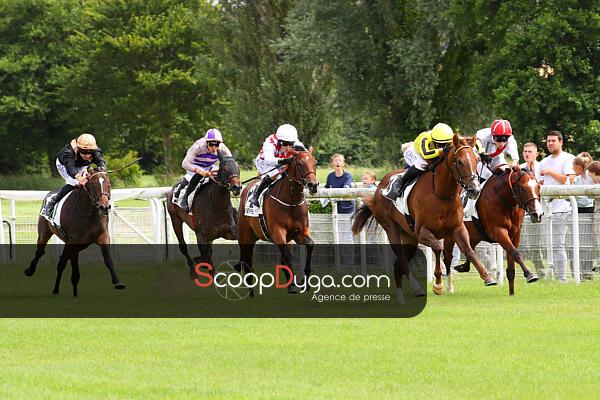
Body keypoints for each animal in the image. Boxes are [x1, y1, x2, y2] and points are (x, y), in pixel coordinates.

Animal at [24, 168, 125, 297]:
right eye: (93, 185)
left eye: (109, 184)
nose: (104, 207)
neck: (89, 212)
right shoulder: (74, 241)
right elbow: (74, 267)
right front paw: (75, 290)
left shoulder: (103, 237)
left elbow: (108, 259)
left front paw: (117, 282)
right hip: (44, 233)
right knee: (40, 252)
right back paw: (30, 271)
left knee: (61, 262)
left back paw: (56, 289)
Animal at [237, 147, 318, 295]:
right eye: (300, 164)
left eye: (315, 163)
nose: (313, 185)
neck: (291, 201)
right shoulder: (278, 232)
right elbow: (287, 255)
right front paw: (294, 284)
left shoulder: (299, 233)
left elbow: (309, 245)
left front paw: (305, 282)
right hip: (246, 237)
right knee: (247, 262)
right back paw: (251, 291)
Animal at [352, 134, 497, 302]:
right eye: (460, 162)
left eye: (476, 159)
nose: (475, 190)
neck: (441, 194)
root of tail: (379, 187)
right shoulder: (422, 232)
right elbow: (438, 248)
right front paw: (438, 285)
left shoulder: (457, 228)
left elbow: (468, 250)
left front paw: (487, 277)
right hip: (391, 228)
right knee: (402, 260)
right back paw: (417, 289)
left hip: (409, 237)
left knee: (398, 264)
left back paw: (401, 295)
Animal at [443, 165, 544, 295]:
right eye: (522, 188)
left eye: (538, 187)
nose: (538, 214)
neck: (503, 199)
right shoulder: (498, 231)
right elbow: (515, 252)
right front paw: (530, 275)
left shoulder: (515, 233)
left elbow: (512, 263)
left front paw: (512, 293)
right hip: (450, 235)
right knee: (447, 258)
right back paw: (448, 287)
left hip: (472, 235)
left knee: (469, 248)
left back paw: (464, 267)